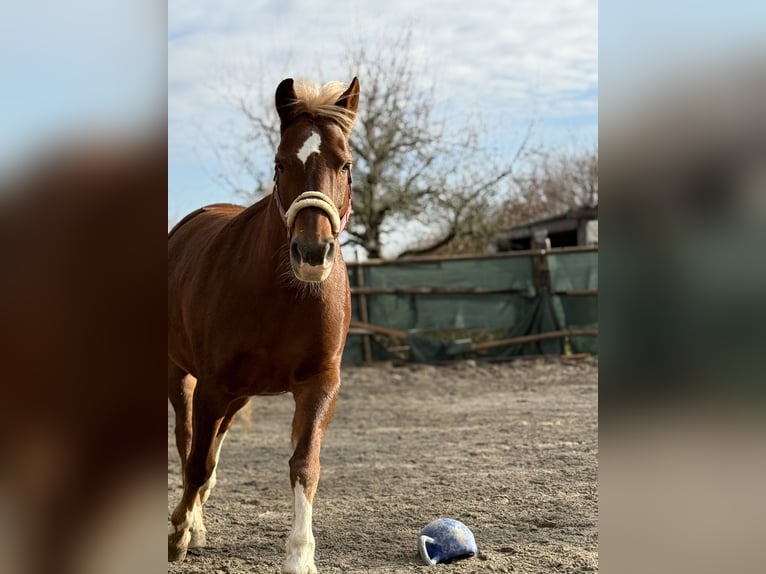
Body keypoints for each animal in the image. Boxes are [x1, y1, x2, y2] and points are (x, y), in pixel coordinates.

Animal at [167, 77, 360, 574]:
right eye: (280, 163)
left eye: (346, 164)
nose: (312, 253)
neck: (283, 297)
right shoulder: (212, 386)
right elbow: (196, 462)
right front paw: (177, 533)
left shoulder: (319, 383)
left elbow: (304, 465)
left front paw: (300, 556)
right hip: (183, 376)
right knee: (189, 443)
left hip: (239, 395)